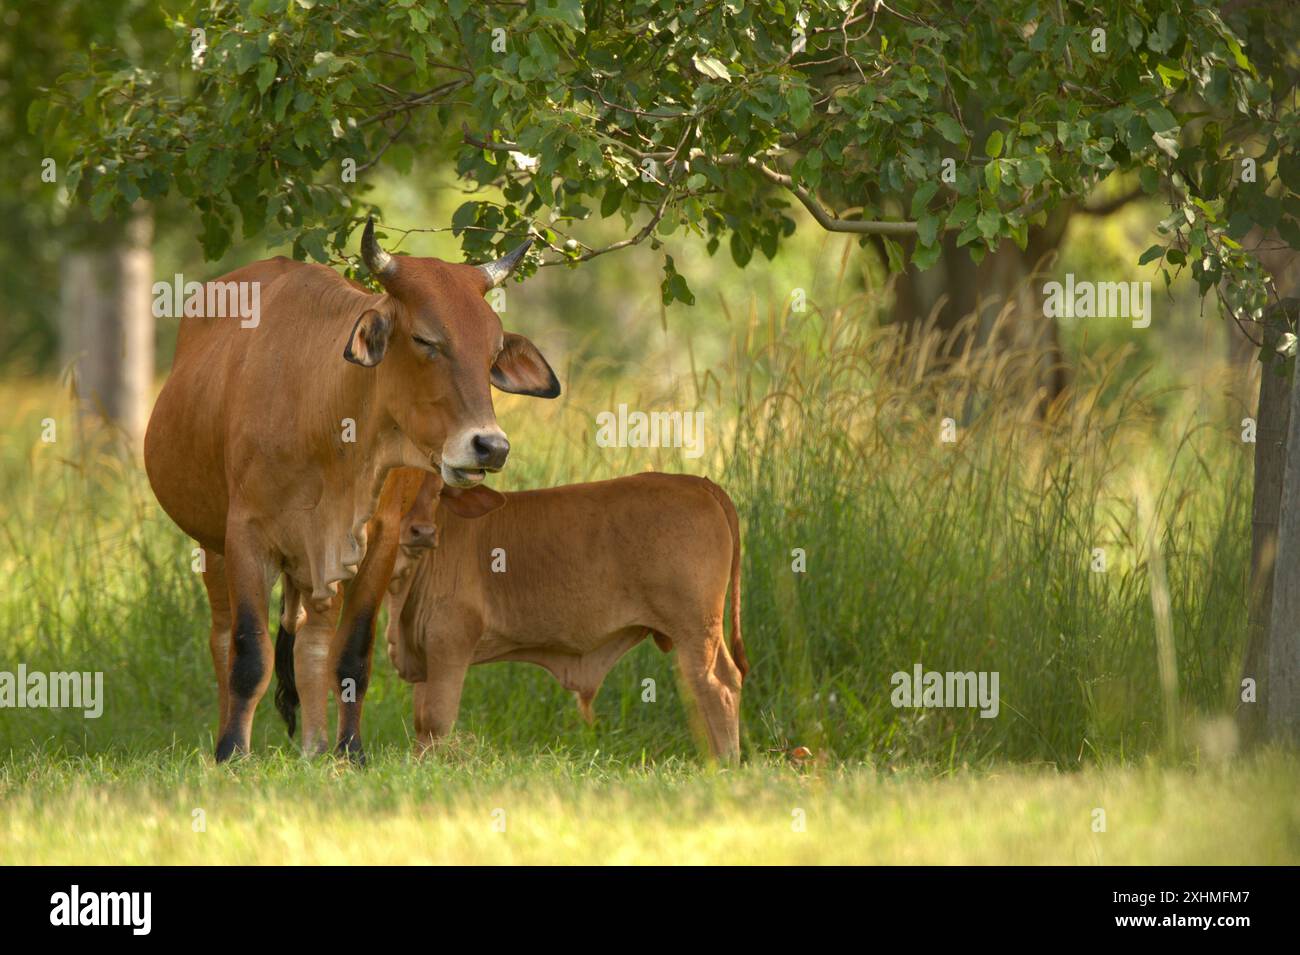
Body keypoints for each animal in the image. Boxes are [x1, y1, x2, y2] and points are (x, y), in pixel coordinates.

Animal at [144, 218, 561, 764]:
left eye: (492, 352)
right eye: (425, 339)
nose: (489, 446)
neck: (326, 413)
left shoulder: (378, 539)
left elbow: (351, 654)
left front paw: (349, 752)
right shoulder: (245, 536)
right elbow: (248, 652)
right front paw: (232, 753)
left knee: (312, 639)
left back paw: (315, 746)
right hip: (210, 543)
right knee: (221, 639)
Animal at [382, 470, 754, 764]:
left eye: (436, 492)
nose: (422, 532)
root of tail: (694, 481)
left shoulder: (450, 640)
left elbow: (436, 719)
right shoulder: (423, 651)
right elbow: (420, 720)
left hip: (696, 628)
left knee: (717, 685)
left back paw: (725, 764)